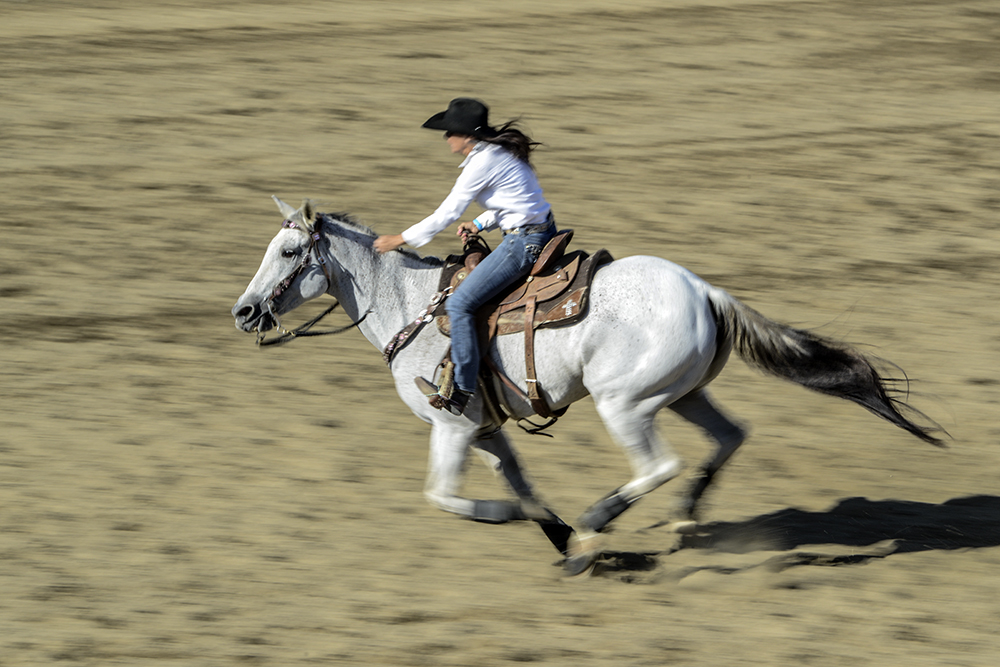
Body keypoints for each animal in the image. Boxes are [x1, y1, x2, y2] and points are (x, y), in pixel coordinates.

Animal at [230, 197, 940, 576]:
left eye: (289, 254)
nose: (243, 312)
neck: (413, 307)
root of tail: (704, 290)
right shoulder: (485, 430)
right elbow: (522, 485)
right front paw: (558, 535)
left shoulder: (453, 427)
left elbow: (446, 498)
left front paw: (553, 532)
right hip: (682, 394)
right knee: (729, 437)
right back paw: (683, 520)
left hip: (625, 403)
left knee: (658, 465)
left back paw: (605, 523)